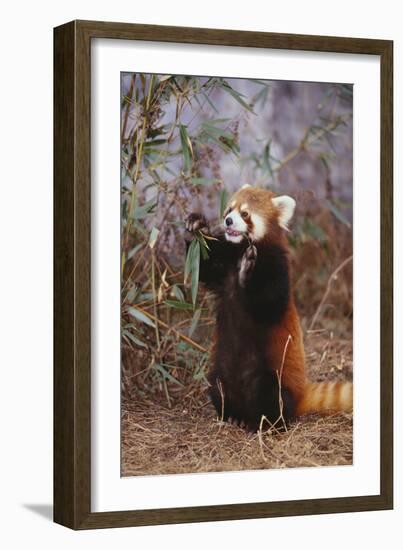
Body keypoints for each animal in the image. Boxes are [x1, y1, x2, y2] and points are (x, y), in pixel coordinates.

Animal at [186, 183, 354, 434]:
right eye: (229, 209)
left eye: (245, 214)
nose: (228, 221)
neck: (240, 251)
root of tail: (300, 395)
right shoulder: (222, 266)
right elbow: (203, 266)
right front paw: (197, 225)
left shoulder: (277, 267)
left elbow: (268, 304)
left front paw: (246, 272)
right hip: (220, 369)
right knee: (217, 385)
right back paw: (232, 415)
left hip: (271, 376)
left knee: (270, 395)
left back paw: (264, 424)